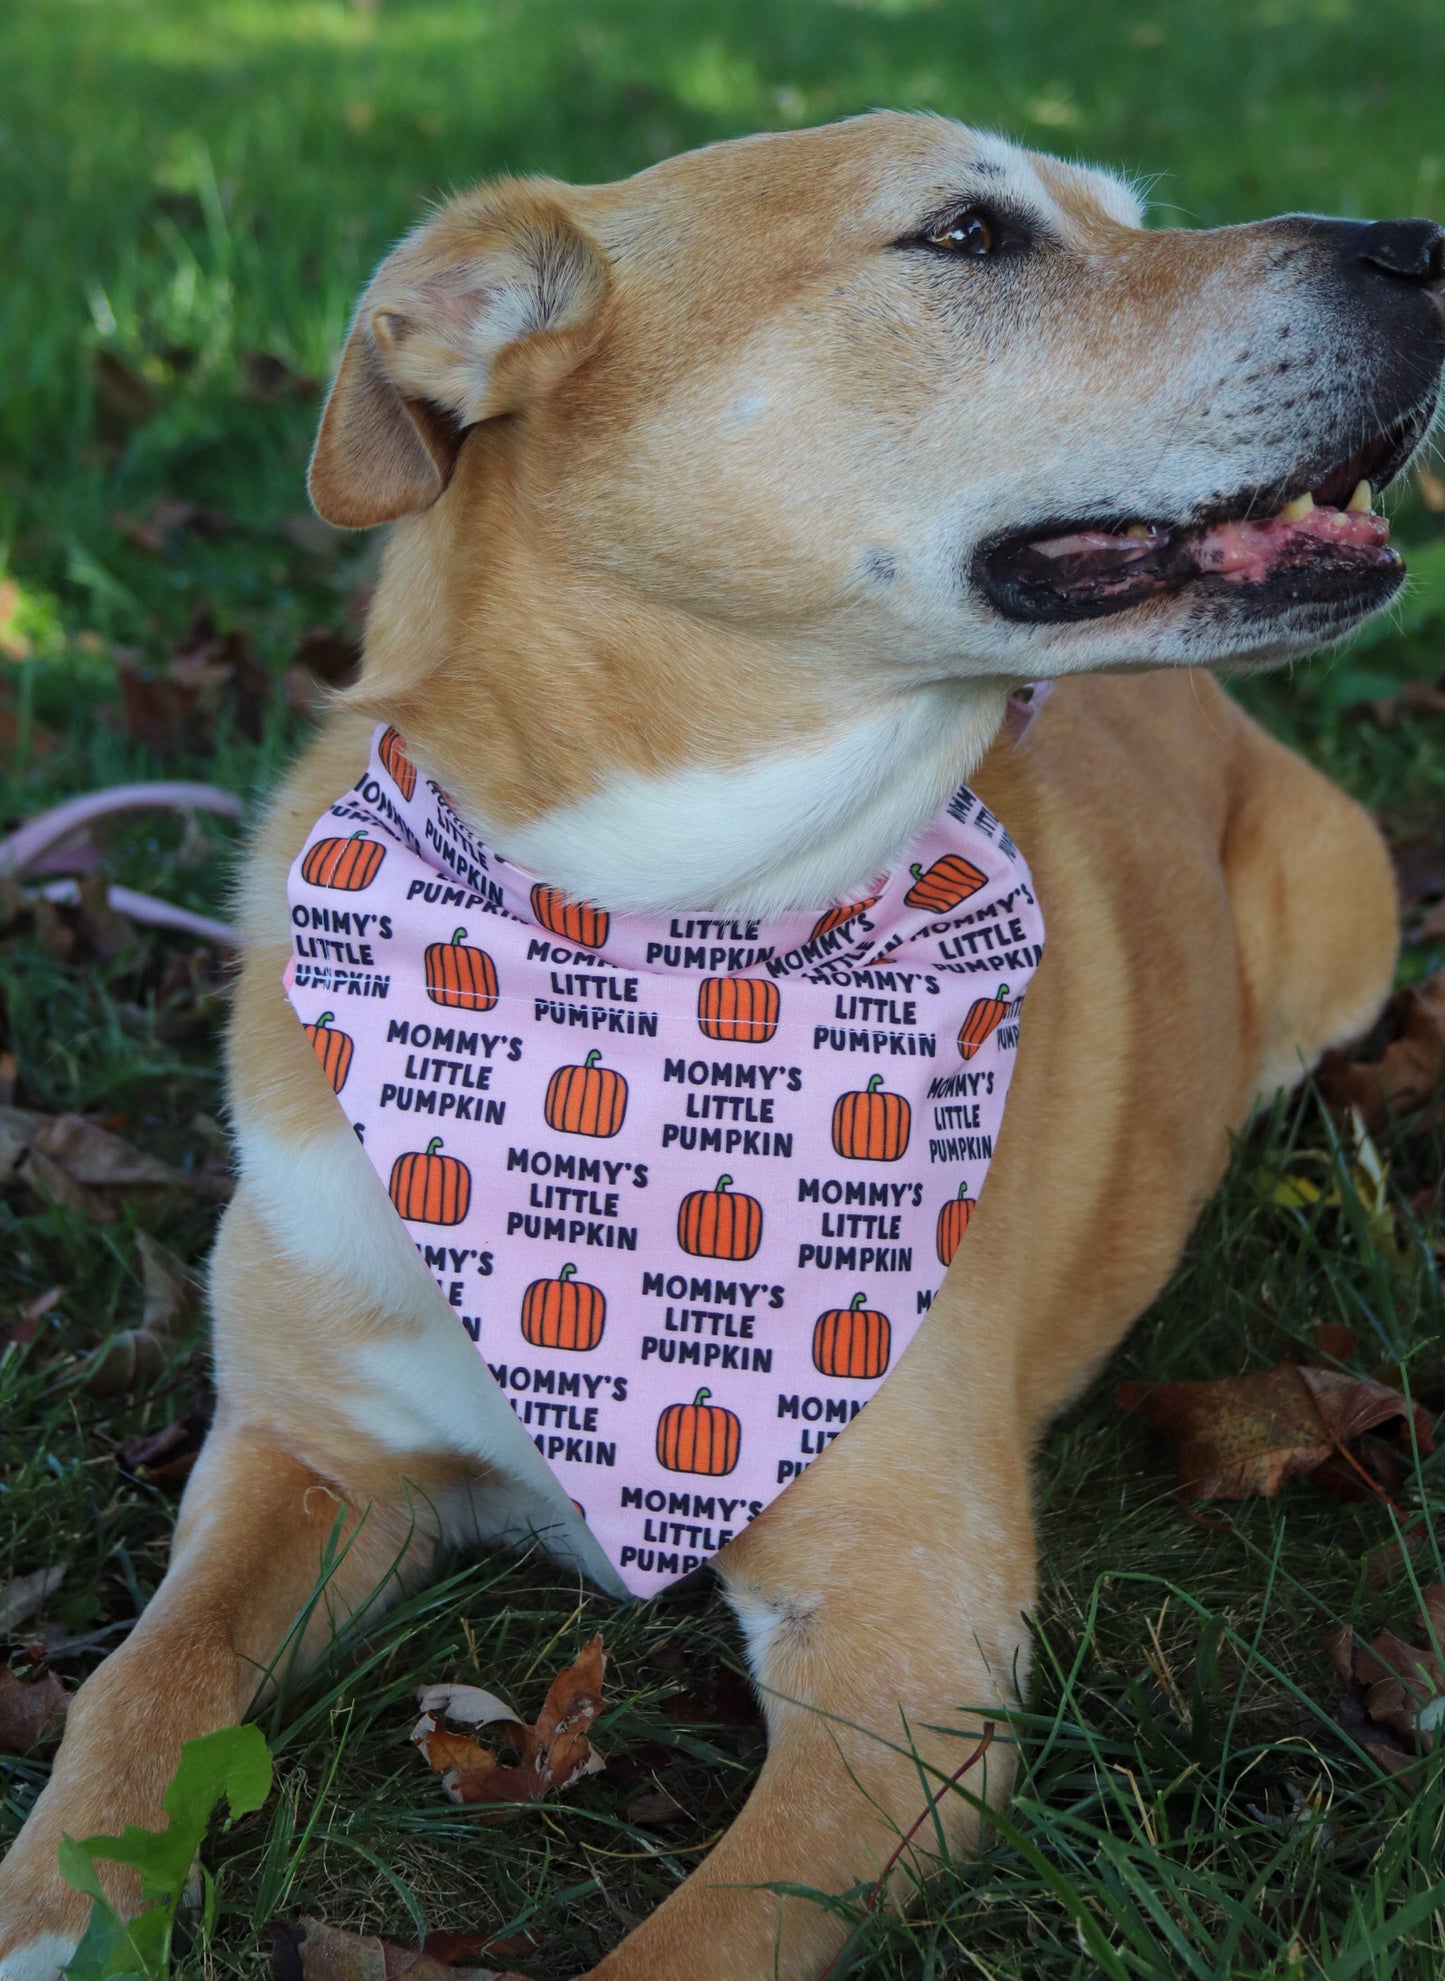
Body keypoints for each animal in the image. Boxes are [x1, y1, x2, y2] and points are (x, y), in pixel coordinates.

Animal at [2, 112, 1443, 1981]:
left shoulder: (908, 1656)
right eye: (971, 233)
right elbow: (143, 1676)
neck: (668, 943)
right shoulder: (303, 1455)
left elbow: (682, 1953)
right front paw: (56, 1894)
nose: (1423, 246)